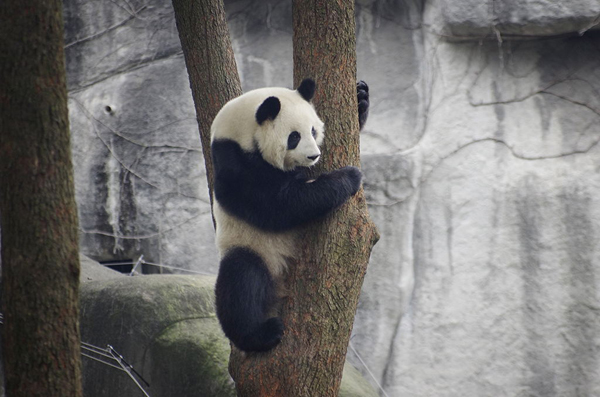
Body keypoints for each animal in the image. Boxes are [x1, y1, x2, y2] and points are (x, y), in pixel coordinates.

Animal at [211, 79, 370, 352]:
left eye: (314, 131)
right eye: (294, 137)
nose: (314, 155)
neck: (238, 133)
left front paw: (360, 97)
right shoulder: (234, 165)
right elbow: (280, 205)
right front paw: (349, 177)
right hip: (251, 246)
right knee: (241, 281)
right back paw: (259, 335)